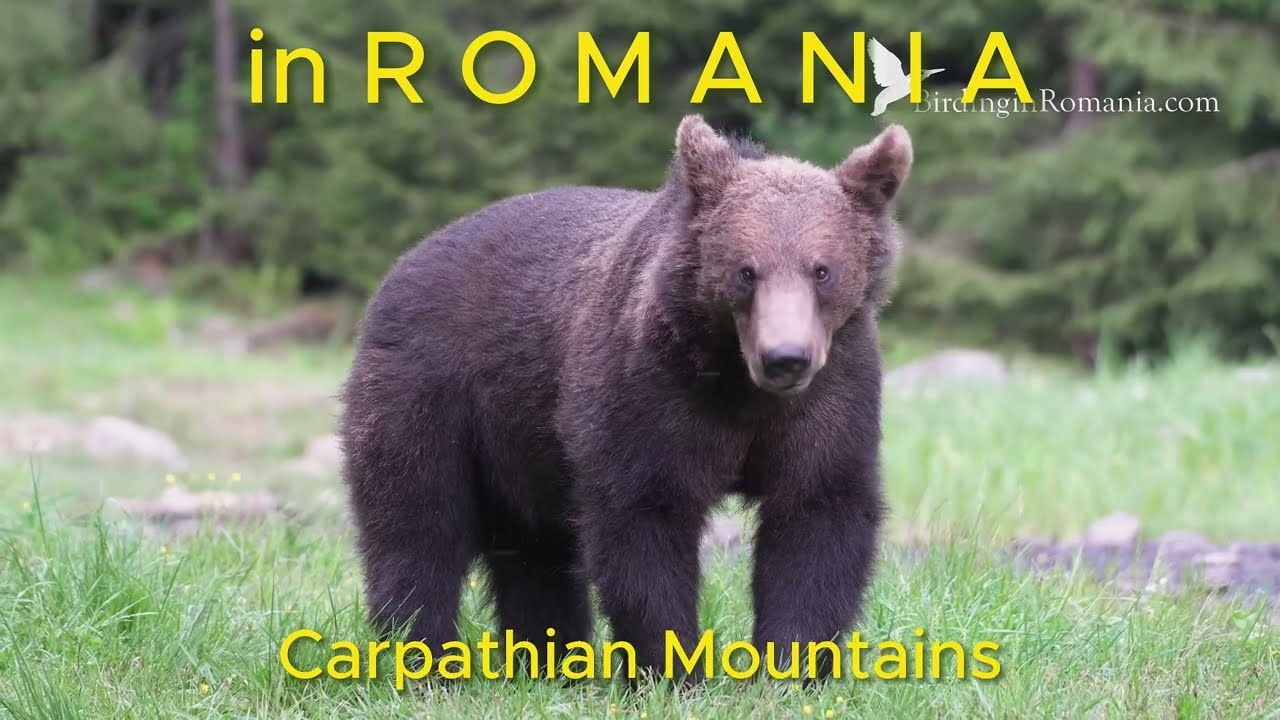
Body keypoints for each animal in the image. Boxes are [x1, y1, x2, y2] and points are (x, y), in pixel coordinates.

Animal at [337, 114, 911, 682]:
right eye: (746, 271)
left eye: (822, 269)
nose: (785, 357)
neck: (737, 382)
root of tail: (406, 261)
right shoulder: (650, 391)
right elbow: (643, 520)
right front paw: (675, 672)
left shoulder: (832, 396)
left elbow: (817, 514)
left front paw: (791, 669)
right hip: (432, 394)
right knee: (418, 526)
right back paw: (426, 660)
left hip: (522, 439)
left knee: (536, 551)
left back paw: (550, 661)